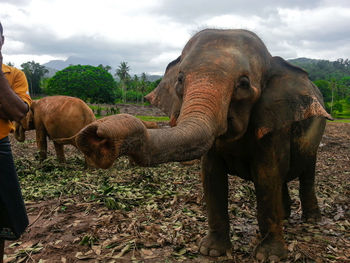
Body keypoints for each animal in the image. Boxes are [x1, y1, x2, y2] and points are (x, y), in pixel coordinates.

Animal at [65, 28, 330, 260]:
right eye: (180, 79)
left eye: (244, 84)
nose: (97, 134)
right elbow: (211, 176)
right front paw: (212, 251)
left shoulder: (273, 125)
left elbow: (266, 176)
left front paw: (271, 257)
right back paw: (285, 216)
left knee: (305, 174)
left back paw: (311, 220)